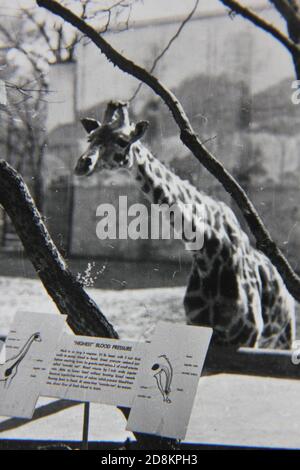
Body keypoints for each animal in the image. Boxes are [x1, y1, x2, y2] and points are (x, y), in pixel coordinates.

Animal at [75, 102, 296, 348]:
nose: (83, 164)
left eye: (123, 141)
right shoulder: (201, 328)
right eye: (90, 138)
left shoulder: (246, 337)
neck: (208, 251)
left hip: (283, 338)